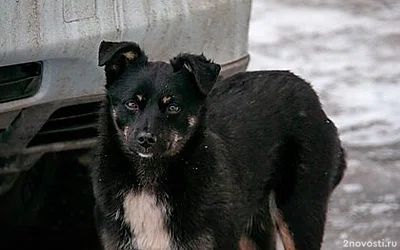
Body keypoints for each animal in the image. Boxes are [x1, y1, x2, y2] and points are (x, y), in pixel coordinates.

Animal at [92, 41, 346, 250]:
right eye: (132, 103)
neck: (149, 179)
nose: (145, 139)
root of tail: (311, 93)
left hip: (299, 212)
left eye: (173, 107)